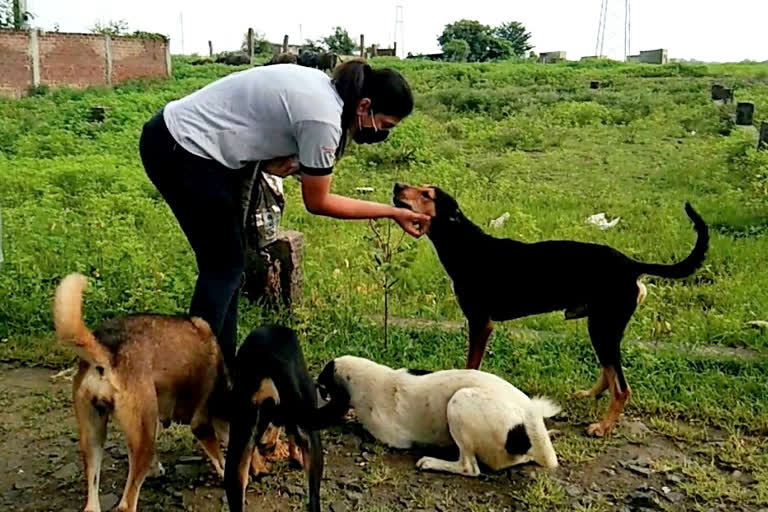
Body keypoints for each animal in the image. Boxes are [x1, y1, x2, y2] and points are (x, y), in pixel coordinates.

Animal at [53, 274, 230, 512]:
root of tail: (108, 351)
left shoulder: (154, 417)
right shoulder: (200, 423)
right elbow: (220, 457)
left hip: (95, 436)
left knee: (92, 500)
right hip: (141, 441)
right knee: (126, 504)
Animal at [316, 354, 560, 478]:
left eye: (320, 388)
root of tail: (528, 415)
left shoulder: (393, 438)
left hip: (459, 402)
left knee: (470, 468)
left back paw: (431, 462)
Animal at [392, 184, 712, 436]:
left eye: (427, 194)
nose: (397, 186)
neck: (464, 245)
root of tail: (632, 265)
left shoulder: (481, 323)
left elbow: (472, 365)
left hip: (603, 326)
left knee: (621, 386)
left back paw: (604, 427)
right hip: (602, 327)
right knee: (609, 372)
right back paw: (589, 394)